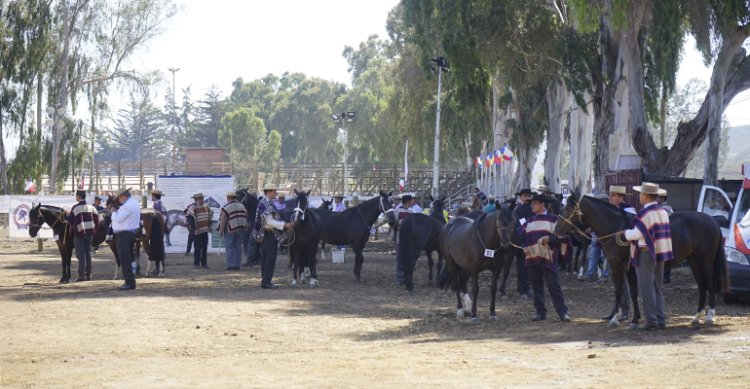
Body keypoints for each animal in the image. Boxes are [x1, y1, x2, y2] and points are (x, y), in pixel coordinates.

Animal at [560, 191, 728, 328]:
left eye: (567, 208)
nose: (556, 229)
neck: (617, 228)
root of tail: (712, 220)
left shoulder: (629, 268)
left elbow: (633, 292)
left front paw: (634, 320)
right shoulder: (616, 267)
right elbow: (619, 290)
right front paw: (614, 319)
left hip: (706, 262)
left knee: (710, 285)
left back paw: (710, 317)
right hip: (694, 261)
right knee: (702, 286)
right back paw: (696, 317)